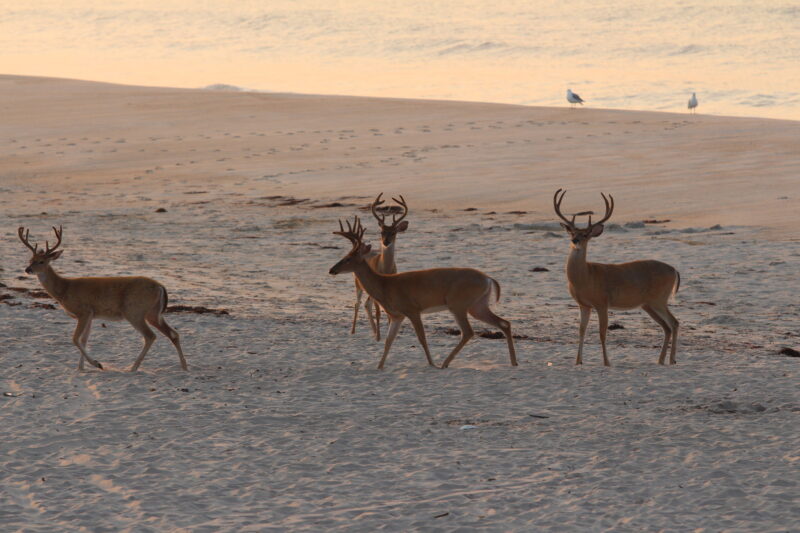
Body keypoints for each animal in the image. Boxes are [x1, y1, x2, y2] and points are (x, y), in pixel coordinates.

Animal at [18, 225, 187, 372]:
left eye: (41, 261)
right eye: (30, 260)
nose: (28, 269)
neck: (64, 289)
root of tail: (161, 287)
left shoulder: (84, 311)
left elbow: (75, 339)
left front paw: (97, 364)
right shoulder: (91, 314)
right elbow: (84, 340)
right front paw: (81, 368)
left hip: (134, 311)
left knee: (150, 336)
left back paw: (133, 368)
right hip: (153, 313)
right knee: (173, 334)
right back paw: (184, 366)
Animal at [330, 216, 517, 369]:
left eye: (347, 258)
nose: (332, 269)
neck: (385, 285)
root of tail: (489, 279)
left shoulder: (412, 309)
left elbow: (421, 338)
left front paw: (431, 363)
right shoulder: (397, 315)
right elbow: (389, 341)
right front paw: (379, 366)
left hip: (458, 304)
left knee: (468, 332)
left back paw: (444, 363)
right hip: (477, 305)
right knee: (504, 323)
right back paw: (514, 362)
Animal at [350, 193, 409, 341]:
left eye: (394, 232)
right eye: (381, 232)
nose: (385, 241)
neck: (385, 269)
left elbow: (388, 312)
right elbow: (378, 311)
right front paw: (379, 337)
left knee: (367, 304)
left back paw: (373, 331)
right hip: (357, 283)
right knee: (358, 303)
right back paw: (354, 331)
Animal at [553, 189, 680, 366]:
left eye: (585, 234)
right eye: (571, 232)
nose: (575, 240)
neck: (585, 278)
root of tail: (674, 270)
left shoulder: (602, 302)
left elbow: (602, 333)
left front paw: (607, 362)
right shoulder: (583, 305)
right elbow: (581, 331)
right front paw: (578, 361)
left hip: (659, 299)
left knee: (674, 322)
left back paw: (672, 359)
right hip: (647, 304)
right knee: (666, 327)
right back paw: (661, 360)